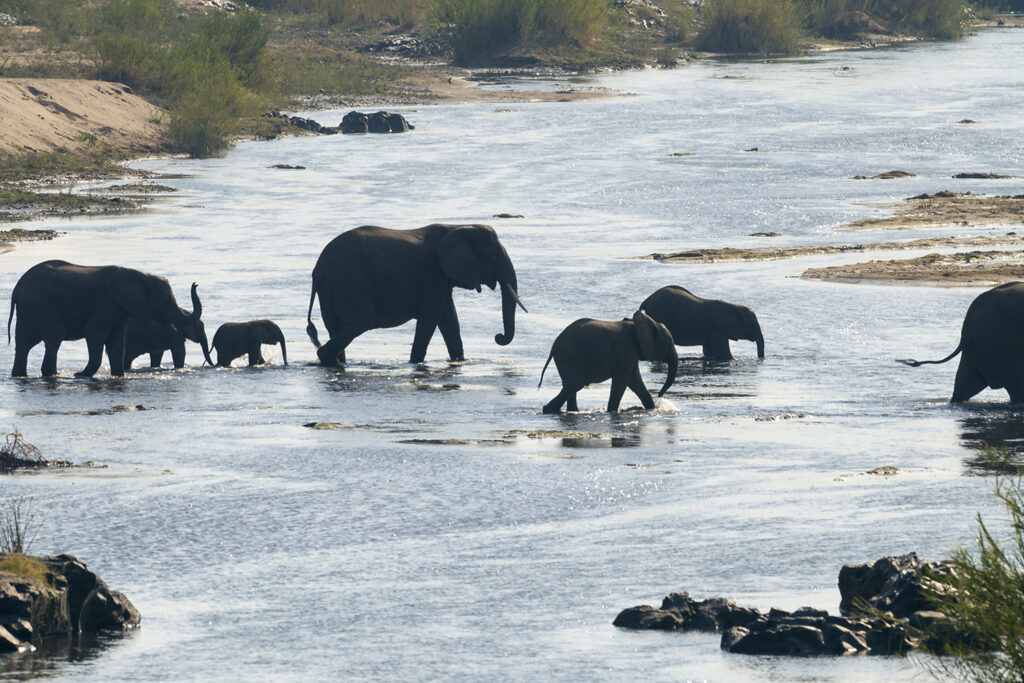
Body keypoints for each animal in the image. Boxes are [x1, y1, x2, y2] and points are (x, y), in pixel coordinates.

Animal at [7, 260, 207, 378]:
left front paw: (118, 376)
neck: (136, 274)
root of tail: (18, 288)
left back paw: (20, 376)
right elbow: (94, 333)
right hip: (42, 305)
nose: (196, 283)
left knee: (23, 344)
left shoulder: (118, 310)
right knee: (54, 339)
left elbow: (117, 340)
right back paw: (53, 375)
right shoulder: (104, 303)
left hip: (29, 309)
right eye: (165, 301)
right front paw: (81, 376)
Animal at [307, 224, 524, 366]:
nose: (498, 337)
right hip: (350, 284)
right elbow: (432, 317)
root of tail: (319, 270)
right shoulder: (432, 276)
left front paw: (460, 361)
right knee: (359, 324)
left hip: (330, 289)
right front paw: (415, 363)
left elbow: (449, 318)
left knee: (336, 327)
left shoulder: (441, 279)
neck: (457, 226)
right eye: (495, 256)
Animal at [536, 313, 679, 413]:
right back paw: (548, 410)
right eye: (667, 344)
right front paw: (612, 411)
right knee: (575, 385)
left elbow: (634, 381)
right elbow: (622, 381)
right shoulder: (626, 350)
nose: (660, 395)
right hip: (570, 357)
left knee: (570, 386)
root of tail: (555, 345)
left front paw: (651, 408)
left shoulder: (631, 355)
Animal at [634, 286, 765, 362]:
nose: (760, 359)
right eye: (753, 325)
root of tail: (647, 300)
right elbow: (725, 354)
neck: (734, 307)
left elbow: (709, 352)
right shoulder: (717, 330)